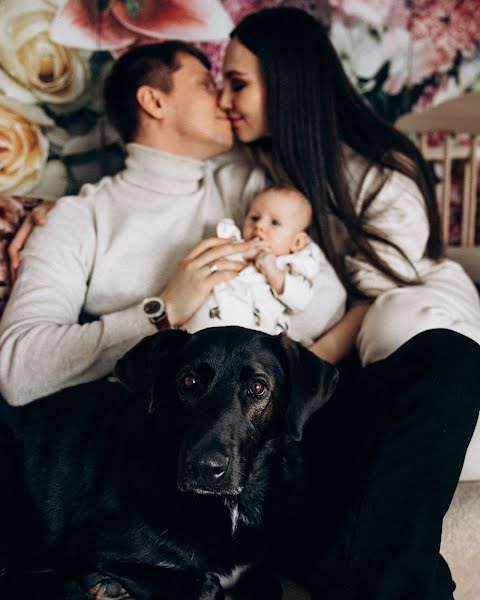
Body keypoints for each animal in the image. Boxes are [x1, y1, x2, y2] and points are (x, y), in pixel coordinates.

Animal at [0, 328, 338, 600]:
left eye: (258, 387)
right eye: (188, 382)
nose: (205, 468)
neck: (228, 507)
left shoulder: (260, 569)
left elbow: (268, 585)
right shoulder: (87, 546)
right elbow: (205, 585)